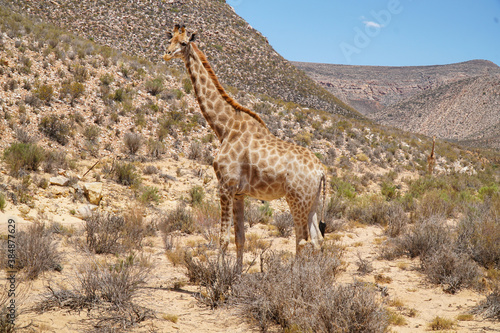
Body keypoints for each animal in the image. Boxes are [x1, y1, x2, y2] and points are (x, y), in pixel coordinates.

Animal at [164, 25, 328, 270]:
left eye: (184, 43)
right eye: (170, 39)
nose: (166, 54)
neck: (224, 128)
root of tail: (321, 171)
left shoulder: (225, 186)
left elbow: (222, 239)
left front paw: (219, 276)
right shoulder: (239, 193)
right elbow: (239, 238)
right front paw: (237, 274)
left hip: (296, 199)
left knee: (302, 240)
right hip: (313, 201)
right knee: (317, 240)